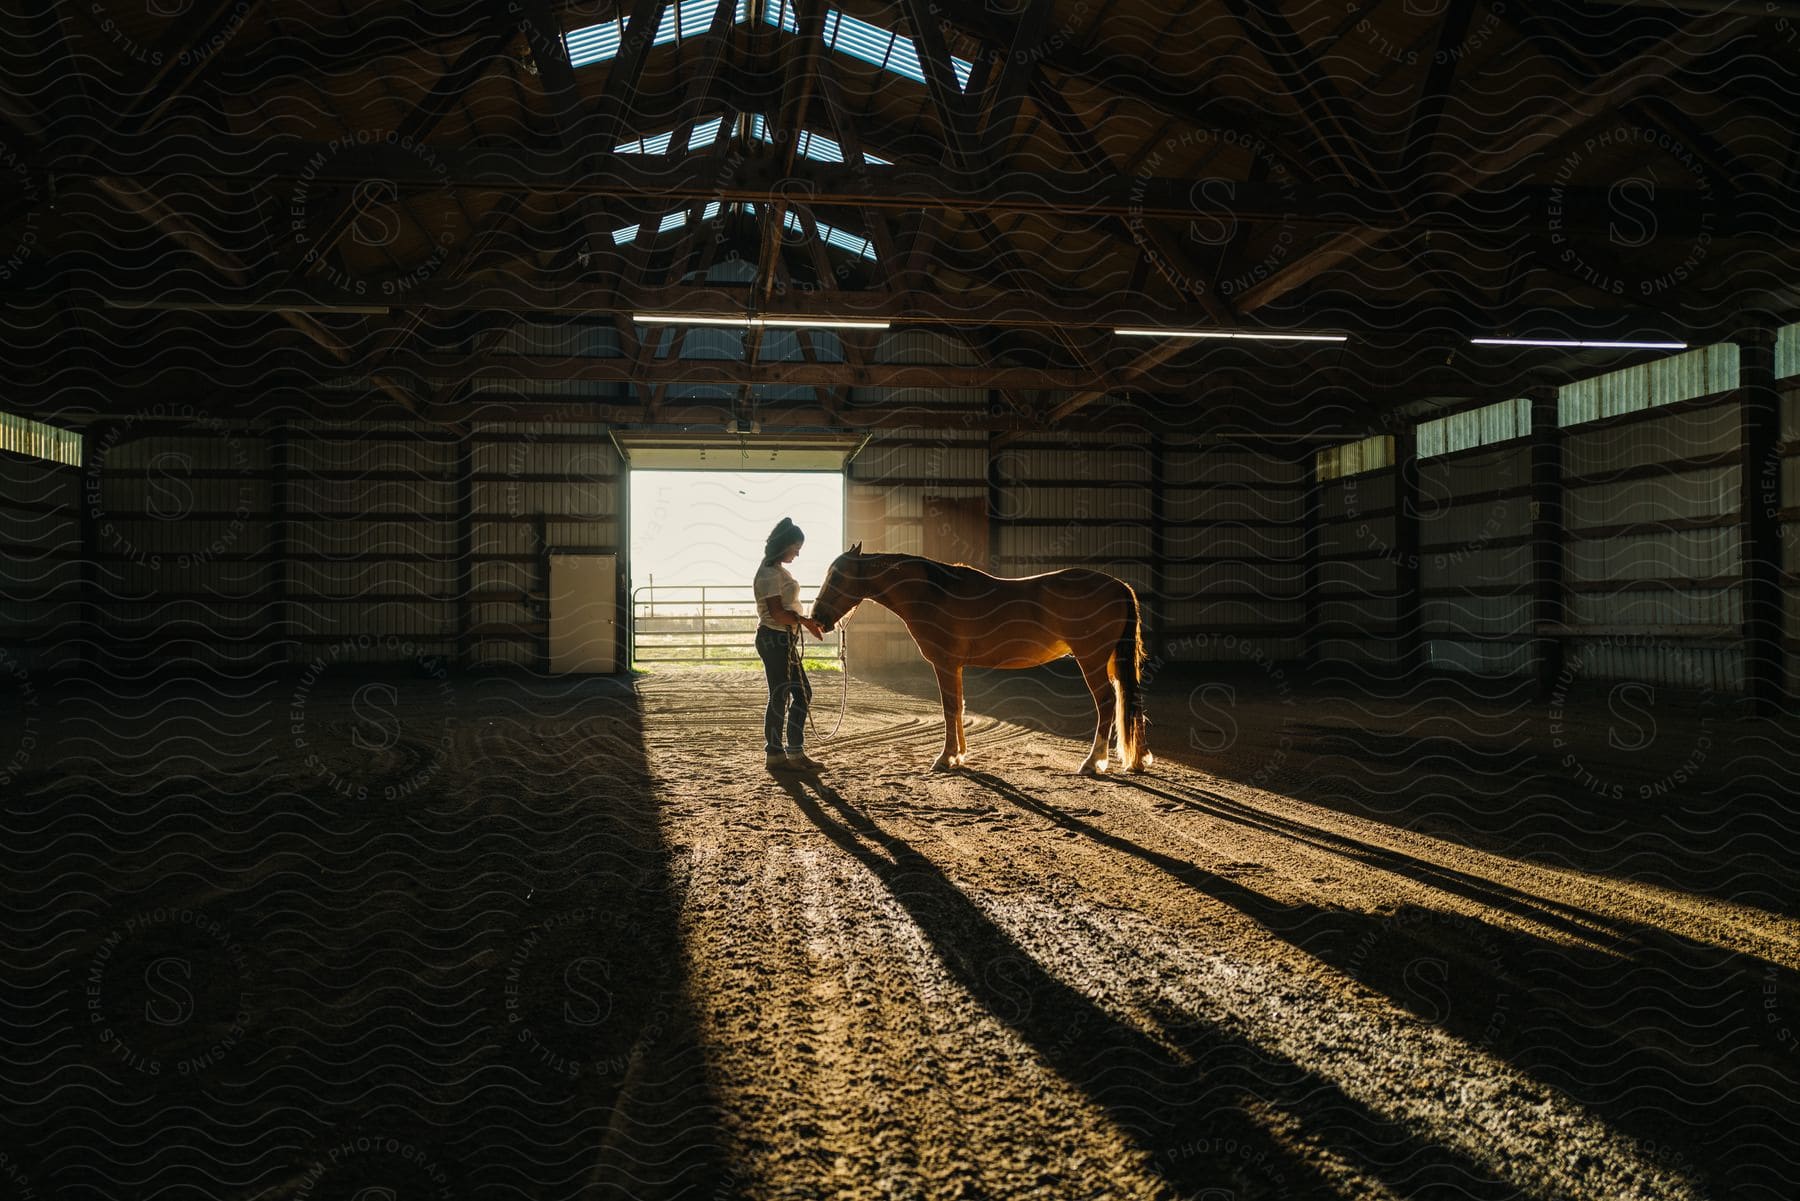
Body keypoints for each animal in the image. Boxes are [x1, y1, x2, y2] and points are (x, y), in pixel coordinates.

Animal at [813, 547, 1152, 774]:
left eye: (838, 576)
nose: (817, 617)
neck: (933, 592)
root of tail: (1119, 586)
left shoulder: (944, 664)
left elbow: (950, 707)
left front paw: (945, 757)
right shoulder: (955, 666)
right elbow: (960, 706)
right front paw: (959, 755)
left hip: (1090, 659)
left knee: (1106, 702)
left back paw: (1092, 762)